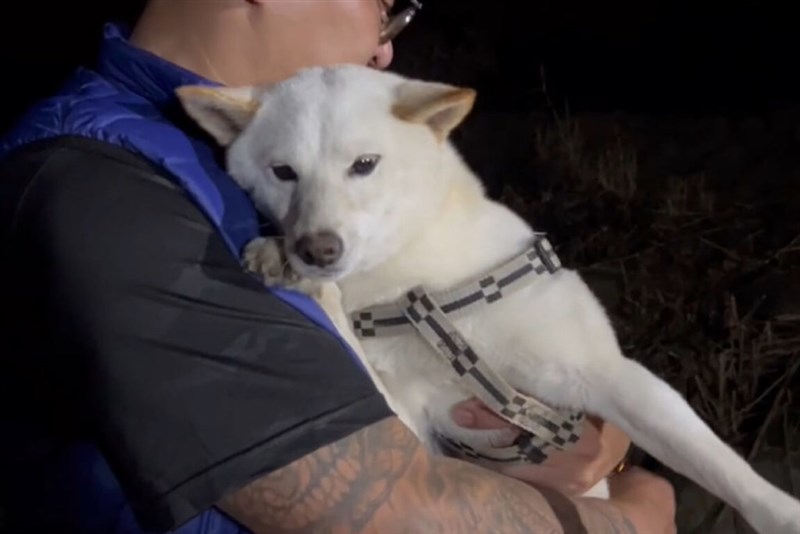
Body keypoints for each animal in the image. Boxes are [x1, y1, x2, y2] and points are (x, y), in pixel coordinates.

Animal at [178, 65, 800, 532]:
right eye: (283, 172)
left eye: (364, 165)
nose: (315, 249)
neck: (417, 296)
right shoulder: (412, 422)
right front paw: (284, 263)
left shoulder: (599, 371)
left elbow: (717, 463)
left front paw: (780, 512)